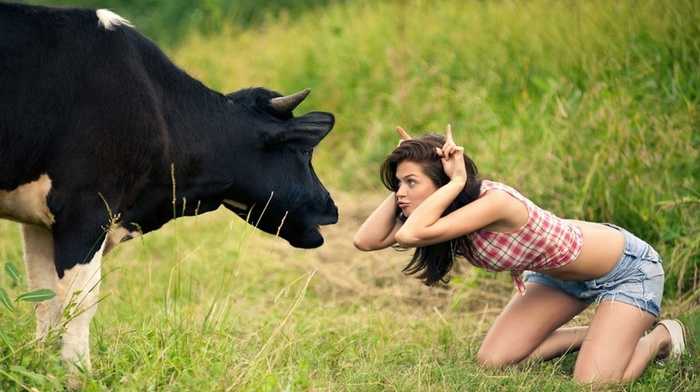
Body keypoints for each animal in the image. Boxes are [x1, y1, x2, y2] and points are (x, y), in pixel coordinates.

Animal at [0, 0, 338, 380]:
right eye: (306, 152)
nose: (332, 206)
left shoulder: (41, 220)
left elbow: (45, 300)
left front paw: (43, 369)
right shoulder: (85, 207)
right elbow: (80, 301)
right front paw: (78, 376)